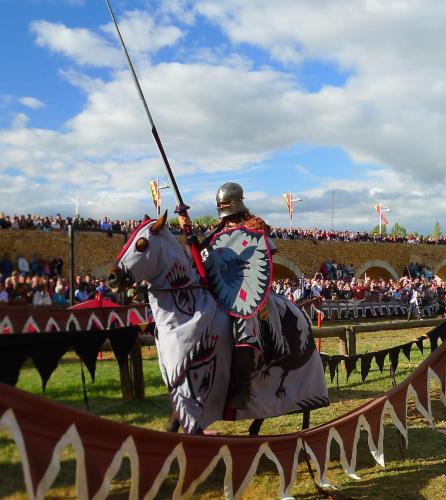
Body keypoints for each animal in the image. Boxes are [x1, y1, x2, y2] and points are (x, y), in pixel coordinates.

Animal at [108, 213, 328, 436]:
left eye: (141, 244)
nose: (112, 277)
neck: (187, 312)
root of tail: (301, 311)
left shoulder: (198, 381)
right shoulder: (179, 378)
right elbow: (173, 423)